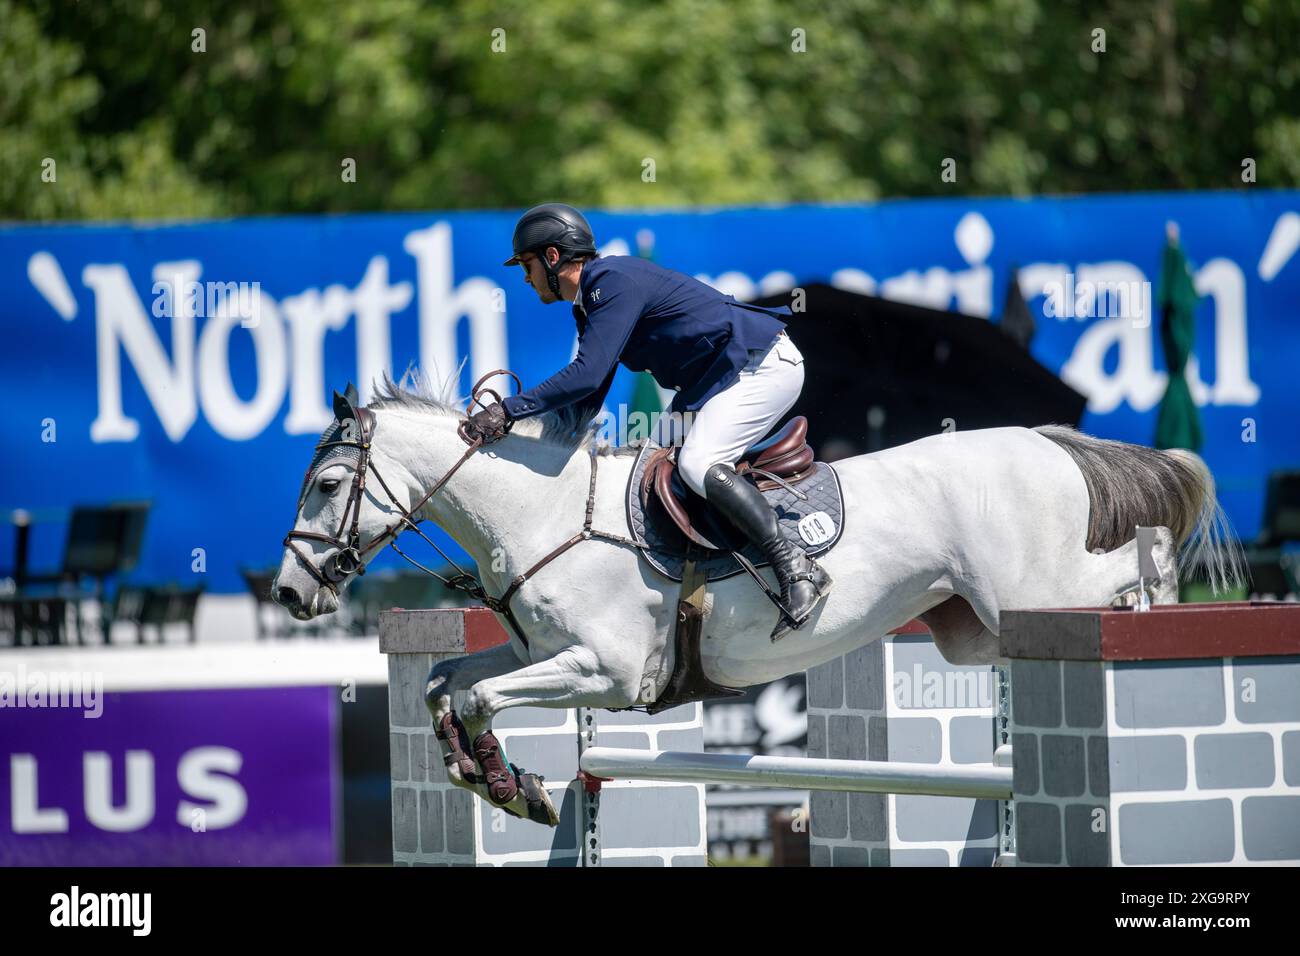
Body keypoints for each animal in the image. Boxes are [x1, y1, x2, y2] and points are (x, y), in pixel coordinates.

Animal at [276, 377, 1237, 827]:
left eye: (327, 484)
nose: (288, 592)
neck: (545, 515)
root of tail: (1046, 441)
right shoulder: (538, 656)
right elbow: (446, 681)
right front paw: (494, 781)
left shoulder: (607, 673)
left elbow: (475, 694)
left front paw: (514, 788)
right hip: (967, 628)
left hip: (1029, 598)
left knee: (1120, 577)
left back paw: (1162, 599)